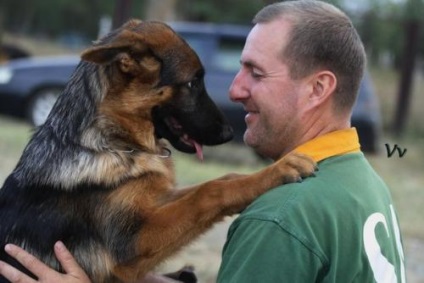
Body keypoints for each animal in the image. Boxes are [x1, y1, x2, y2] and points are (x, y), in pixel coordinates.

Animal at [0, 20, 314, 283]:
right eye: (192, 82)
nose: (229, 133)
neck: (113, 143)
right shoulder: (132, 245)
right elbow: (207, 193)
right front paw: (280, 169)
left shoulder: (156, 202)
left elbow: (220, 181)